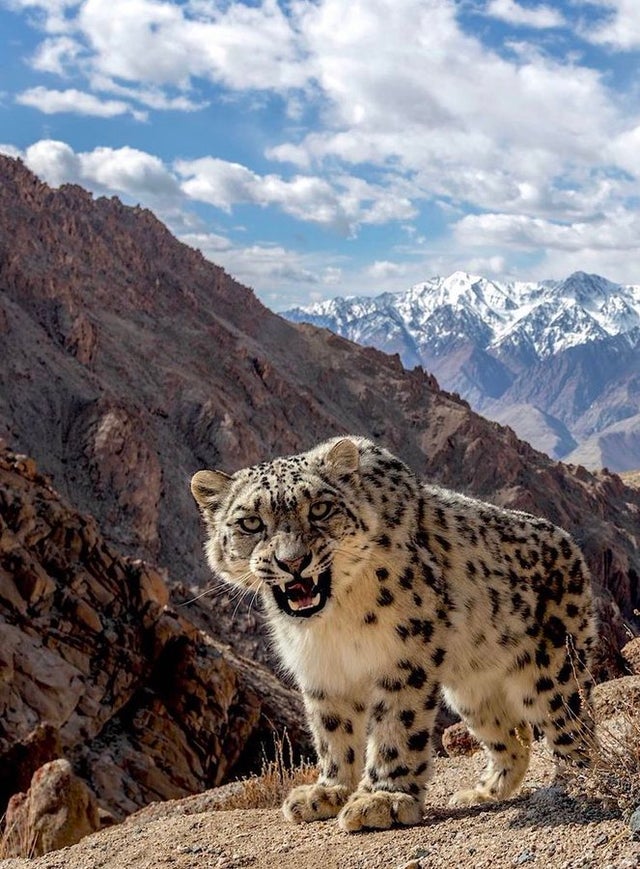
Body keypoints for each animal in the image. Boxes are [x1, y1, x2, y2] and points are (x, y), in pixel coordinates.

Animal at [191, 436, 596, 833]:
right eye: (250, 522)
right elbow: (331, 729)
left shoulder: (406, 652)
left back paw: (577, 780)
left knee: (573, 726)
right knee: (513, 735)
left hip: (554, 670)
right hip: (472, 692)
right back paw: (481, 793)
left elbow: (396, 726)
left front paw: (383, 799)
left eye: (320, 509)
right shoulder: (321, 669)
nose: (292, 562)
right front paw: (328, 791)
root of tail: (570, 544)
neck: (334, 620)